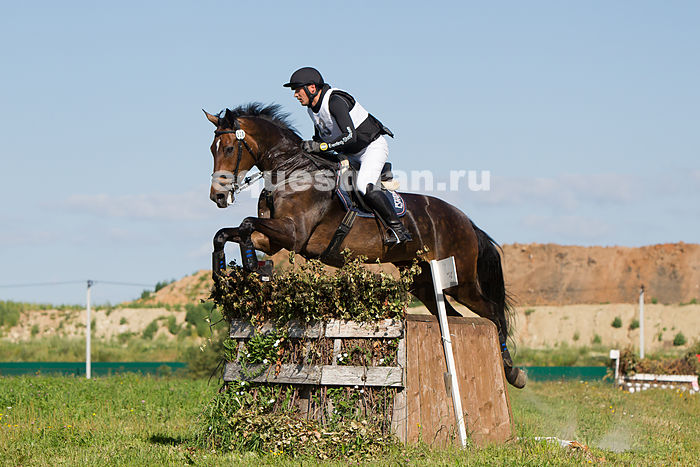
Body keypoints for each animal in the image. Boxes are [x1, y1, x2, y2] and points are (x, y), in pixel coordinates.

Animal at [204, 103, 526, 389]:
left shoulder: (293, 233)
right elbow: (228, 233)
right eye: (212, 149)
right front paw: (229, 273)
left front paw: (249, 265)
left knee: (493, 313)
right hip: (423, 280)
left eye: (229, 148)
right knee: (452, 316)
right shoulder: (272, 239)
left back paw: (511, 371)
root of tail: (466, 220)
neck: (292, 171)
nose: (217, 197)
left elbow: (246, 224)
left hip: (463, 281)